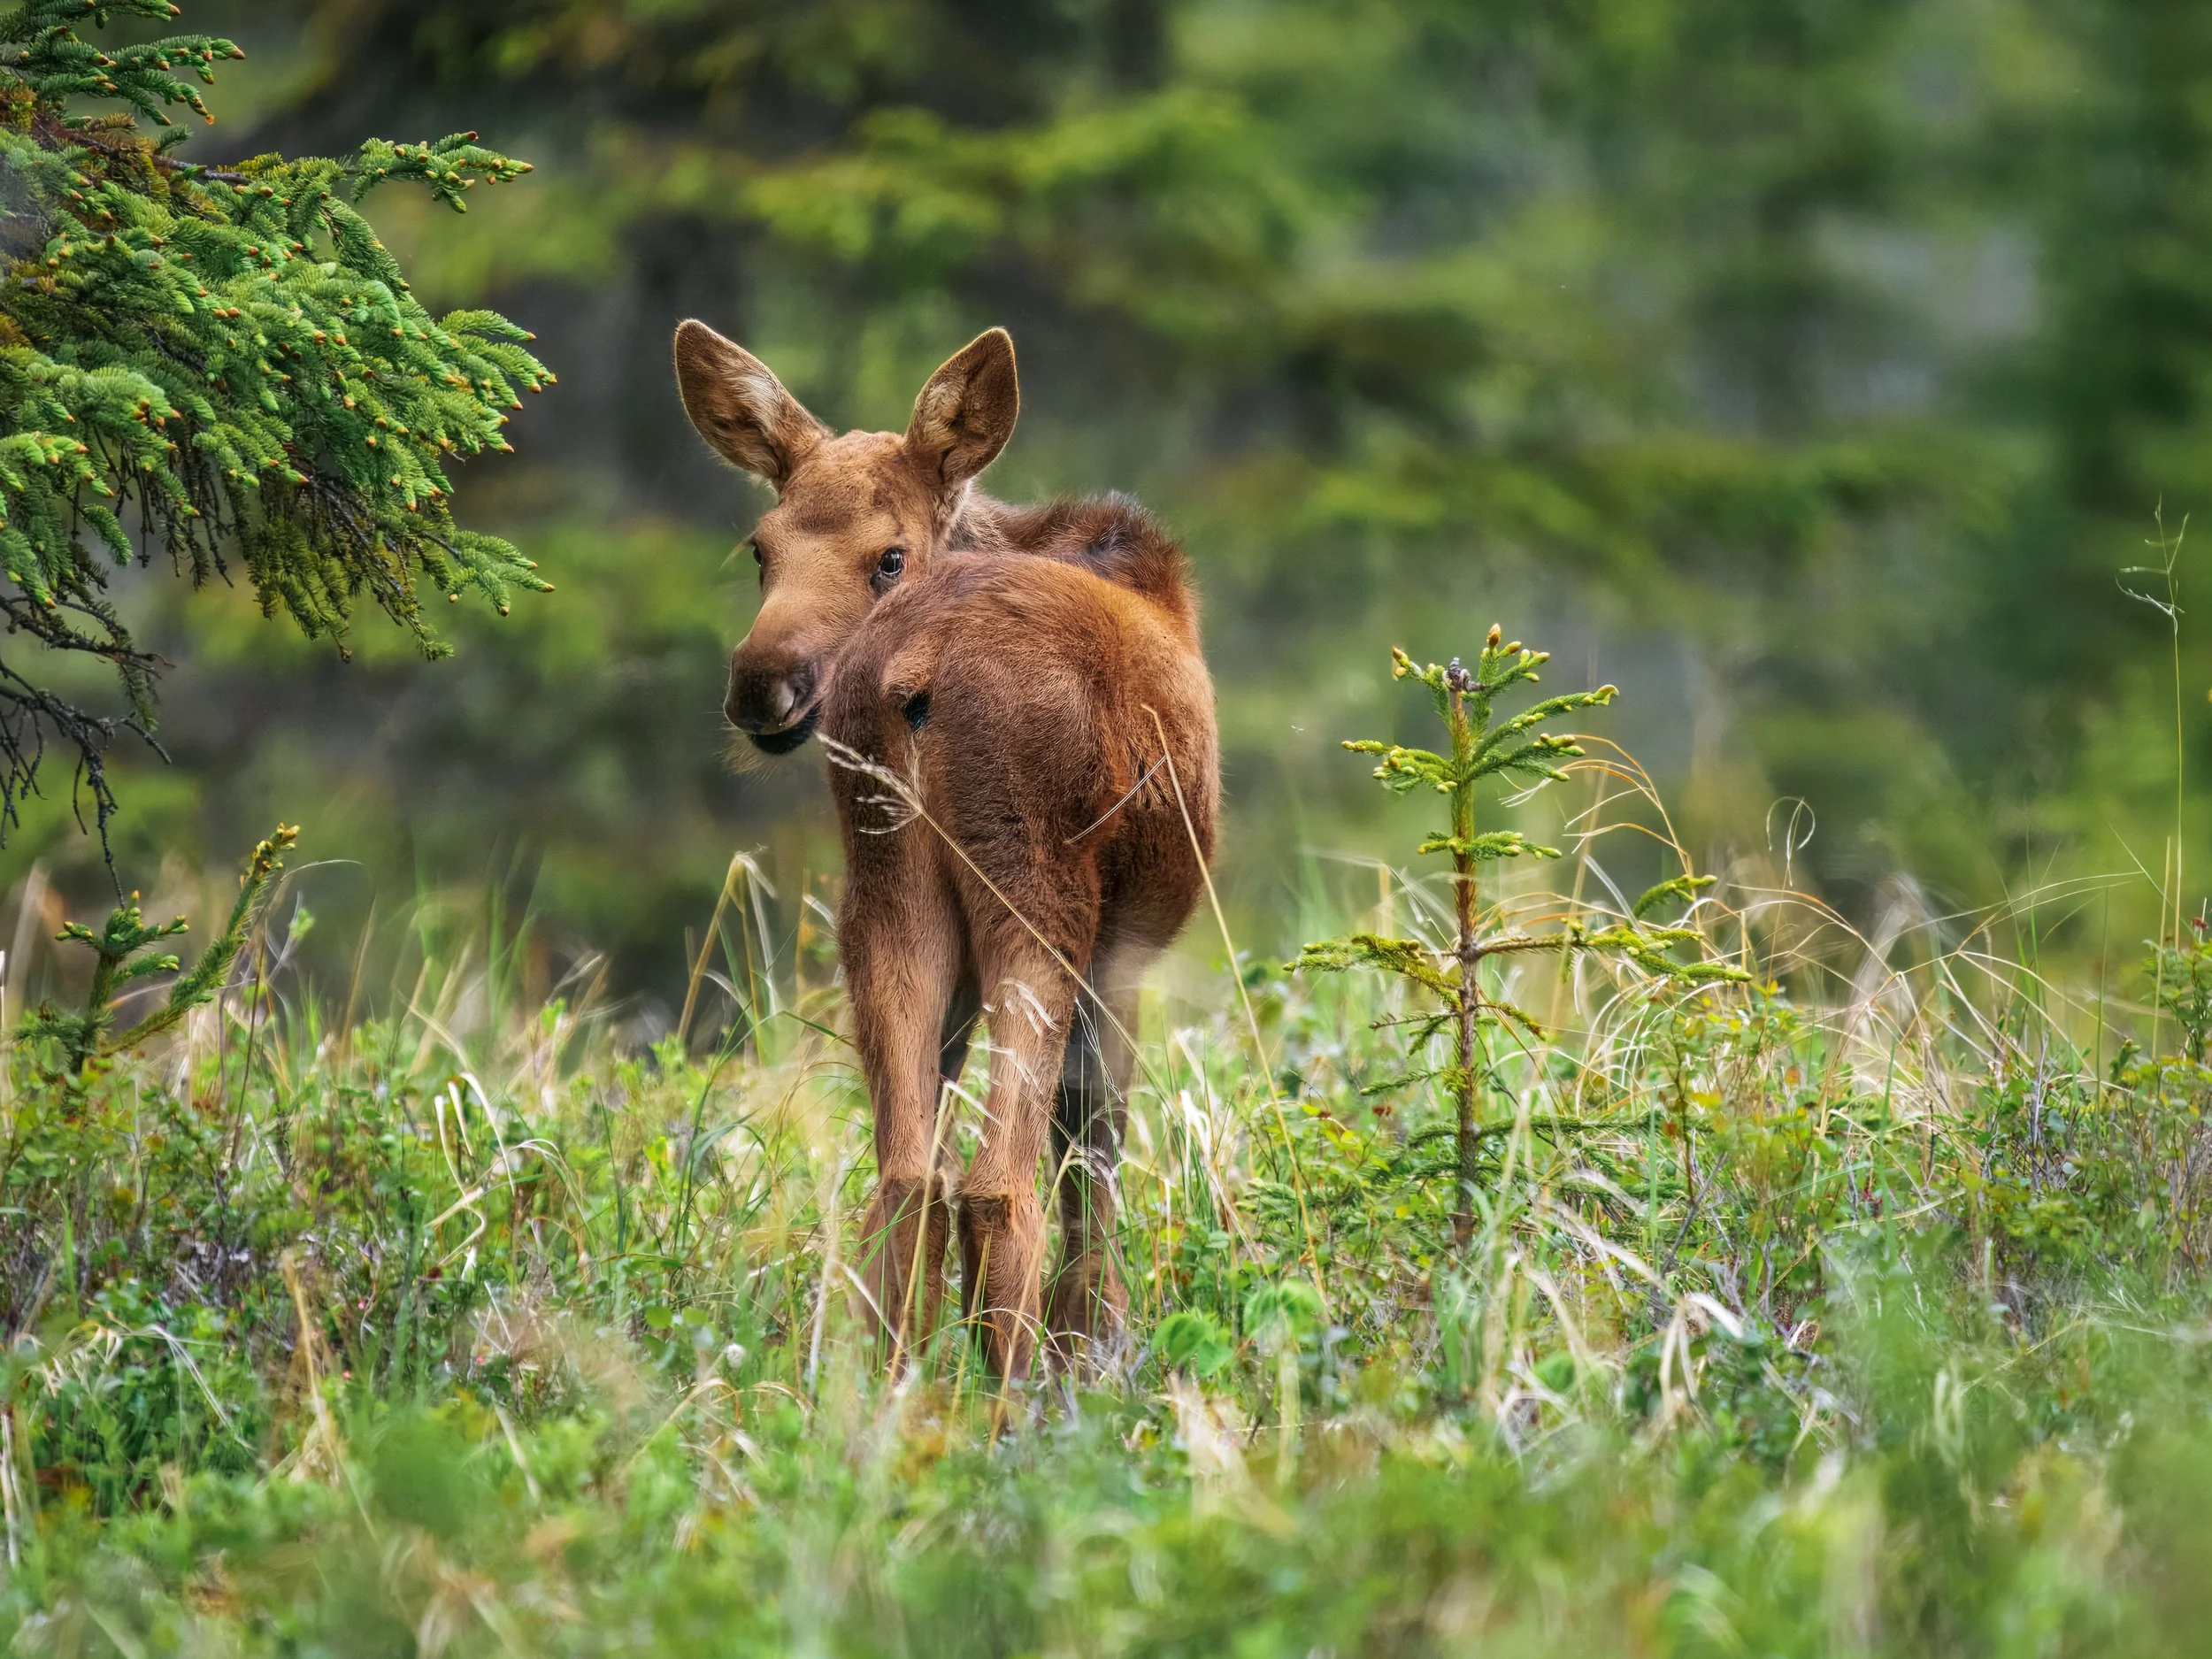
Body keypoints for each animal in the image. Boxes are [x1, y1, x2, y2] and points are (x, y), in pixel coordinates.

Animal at [673, 320, 1219, 1380]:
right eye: (761, 548)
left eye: (889, 556)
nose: (759, 681)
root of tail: (915, 668)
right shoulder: (1125, 954)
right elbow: (1094, 1150)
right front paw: (1097, 1339)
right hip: (1036, 895)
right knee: (997, 1185)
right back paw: (1015, 1400)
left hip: (886, 891)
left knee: (904, 1178)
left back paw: (899, 1393)